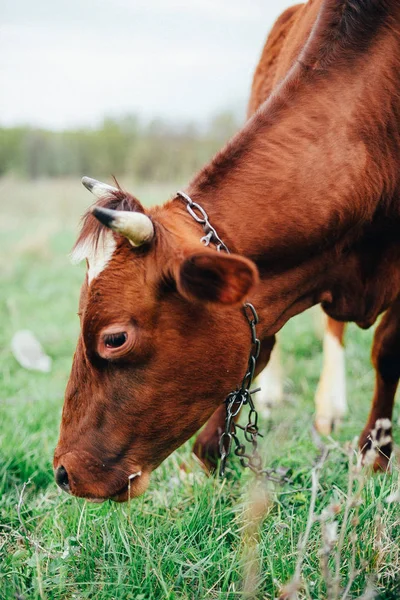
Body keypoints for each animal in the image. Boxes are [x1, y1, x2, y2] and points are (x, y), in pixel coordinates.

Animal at [54, 0, 400, 502]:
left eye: (114, 338)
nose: (63, 472)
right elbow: (262, 343)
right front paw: (209, 452)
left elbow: (388, 351)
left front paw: (375, 455)